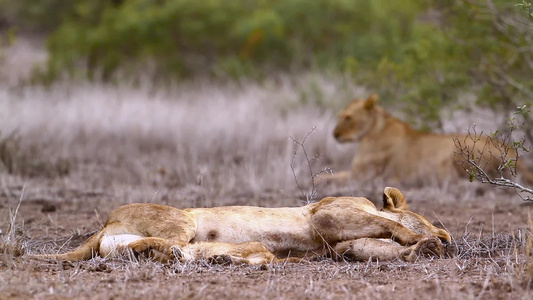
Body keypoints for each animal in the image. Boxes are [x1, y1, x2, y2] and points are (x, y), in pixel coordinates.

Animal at [320, 94, 532, 184]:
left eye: (348, 117)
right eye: (340, 116)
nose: (334, 134)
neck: (374, 128)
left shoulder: (361, 175)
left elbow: (324, 177)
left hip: (457, 150)